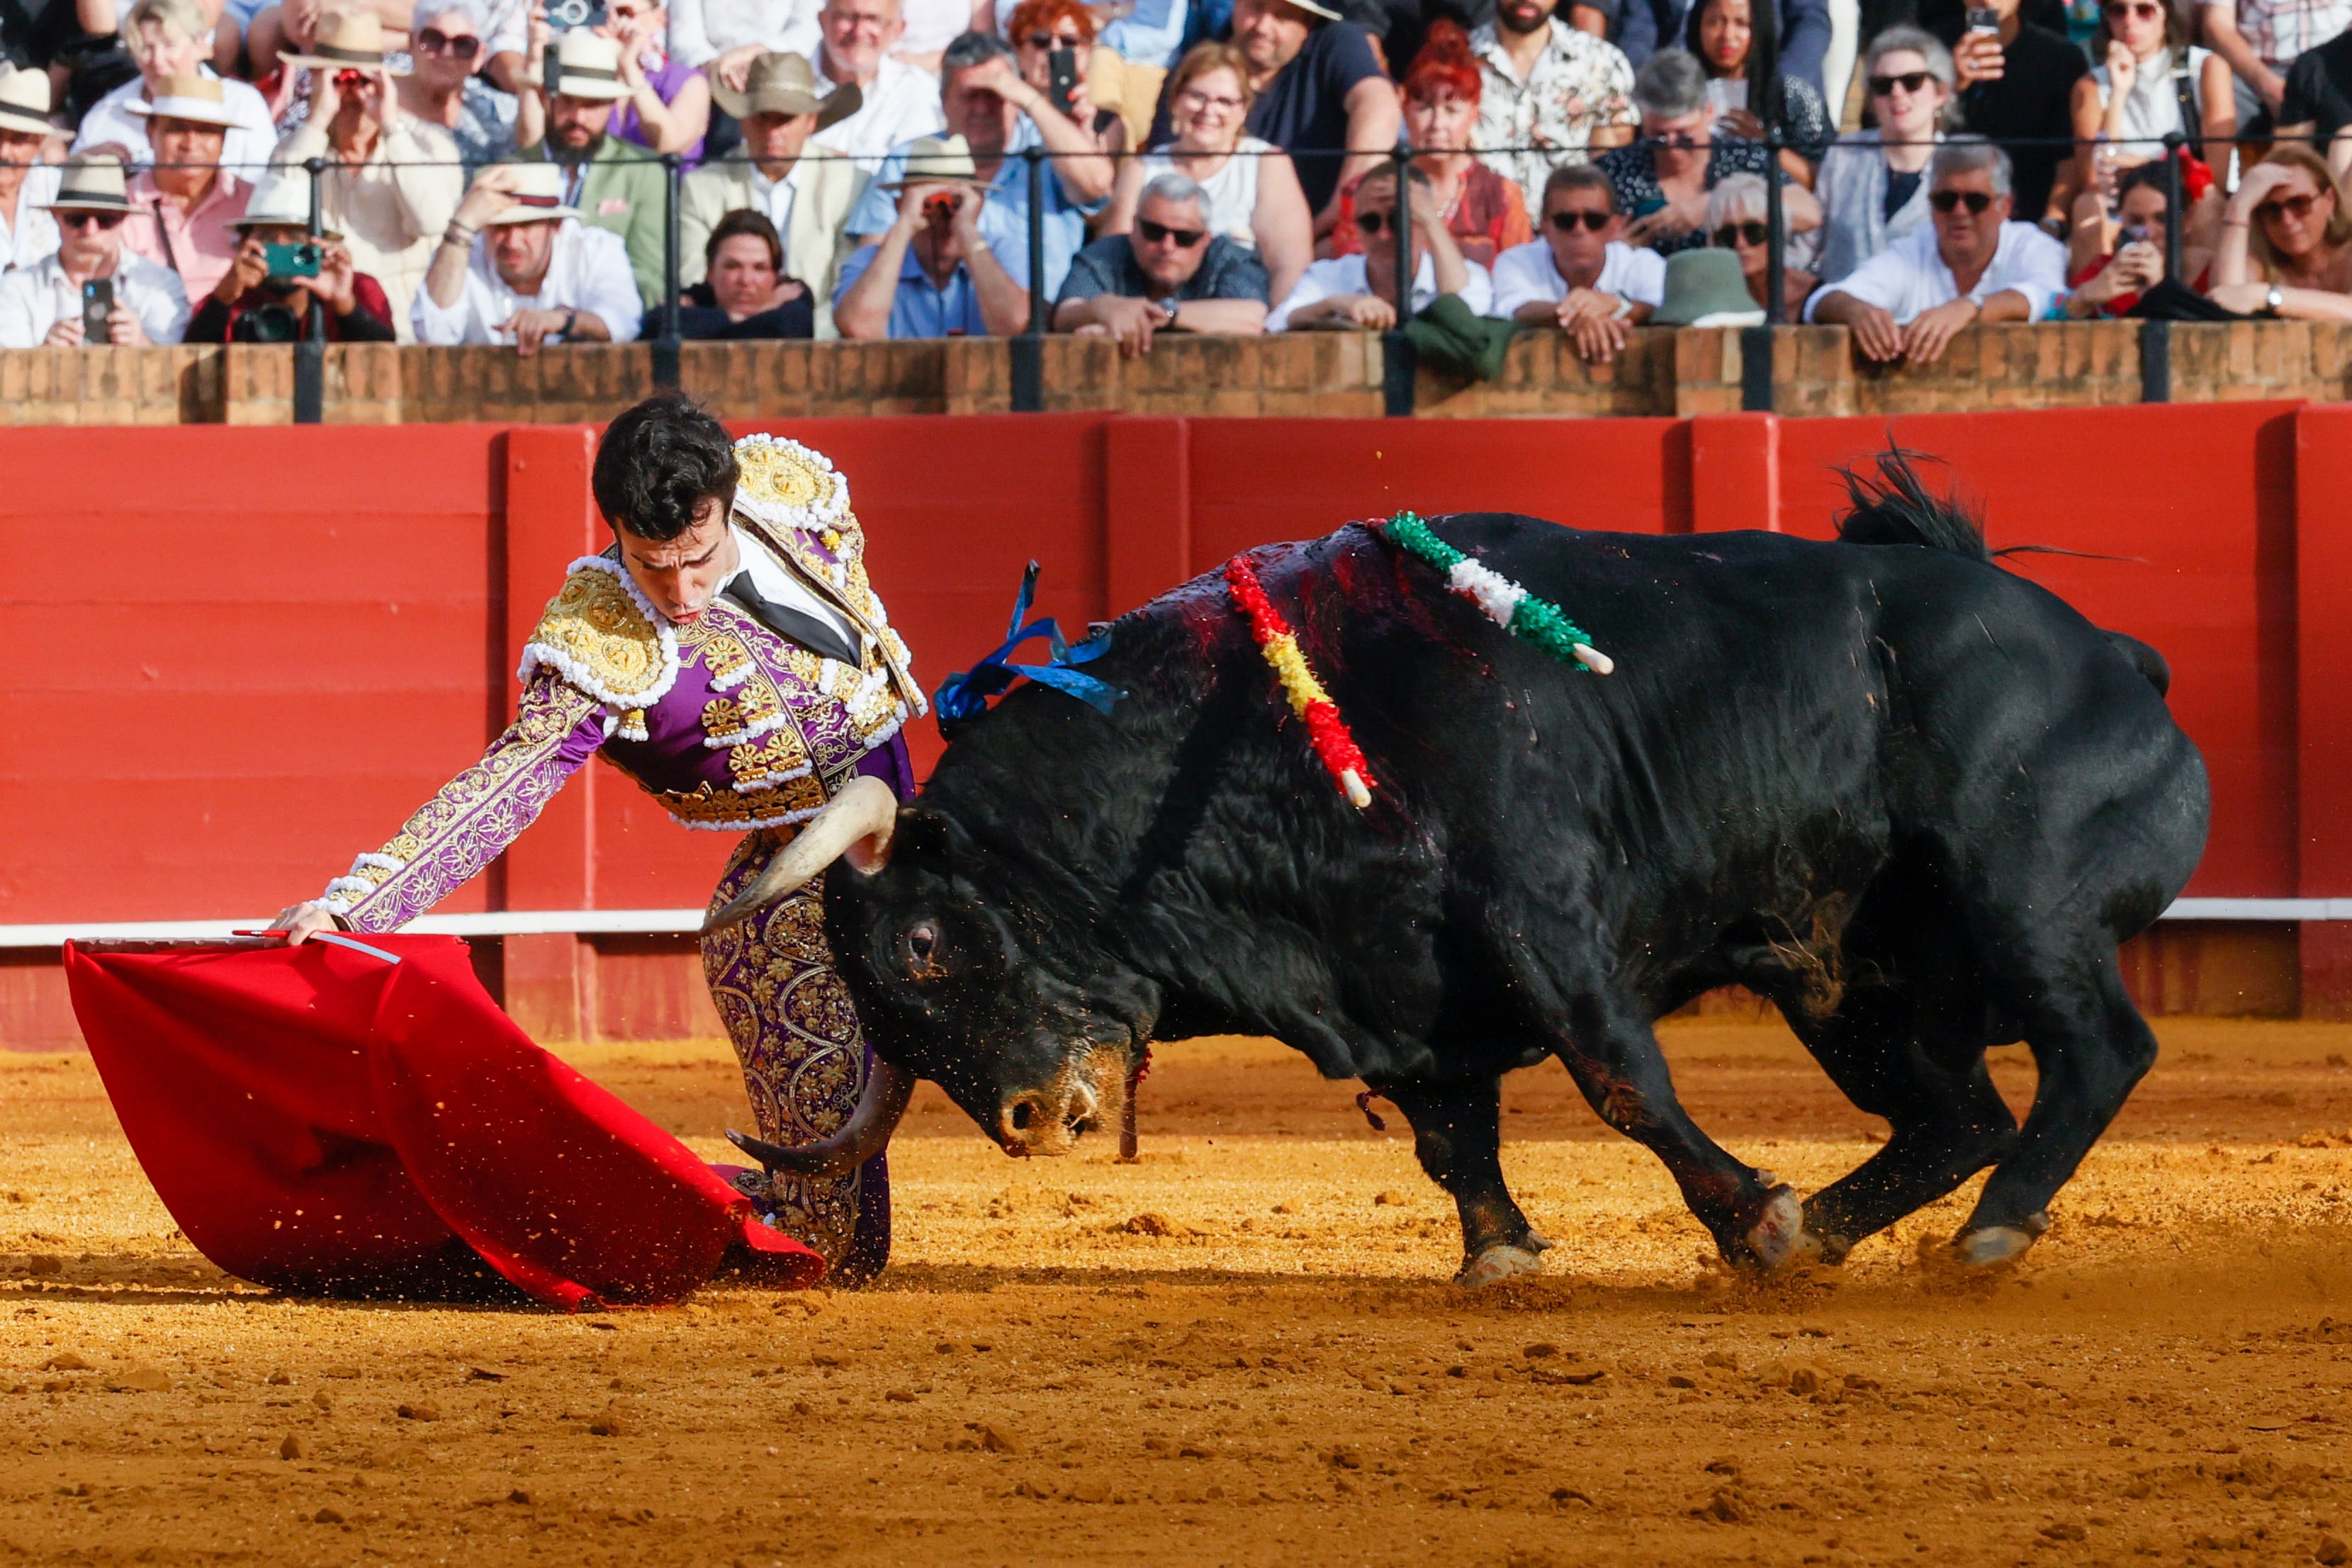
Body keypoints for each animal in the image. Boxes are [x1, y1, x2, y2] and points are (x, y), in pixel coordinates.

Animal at [714, 479, 2201, 1288]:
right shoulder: (1397, 977)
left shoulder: (1540, 916)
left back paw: (1975, 1236)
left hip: (2023, 904)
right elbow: (1444, 1131)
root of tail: (2114, 657)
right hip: (1847, 978)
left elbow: (1616, 1078)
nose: (1029, 1119)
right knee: (1957, 1110)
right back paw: (1835, 1232)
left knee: (2093, 1051)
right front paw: (1501, 1252)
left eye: (919, 945)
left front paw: (1745, 1211)